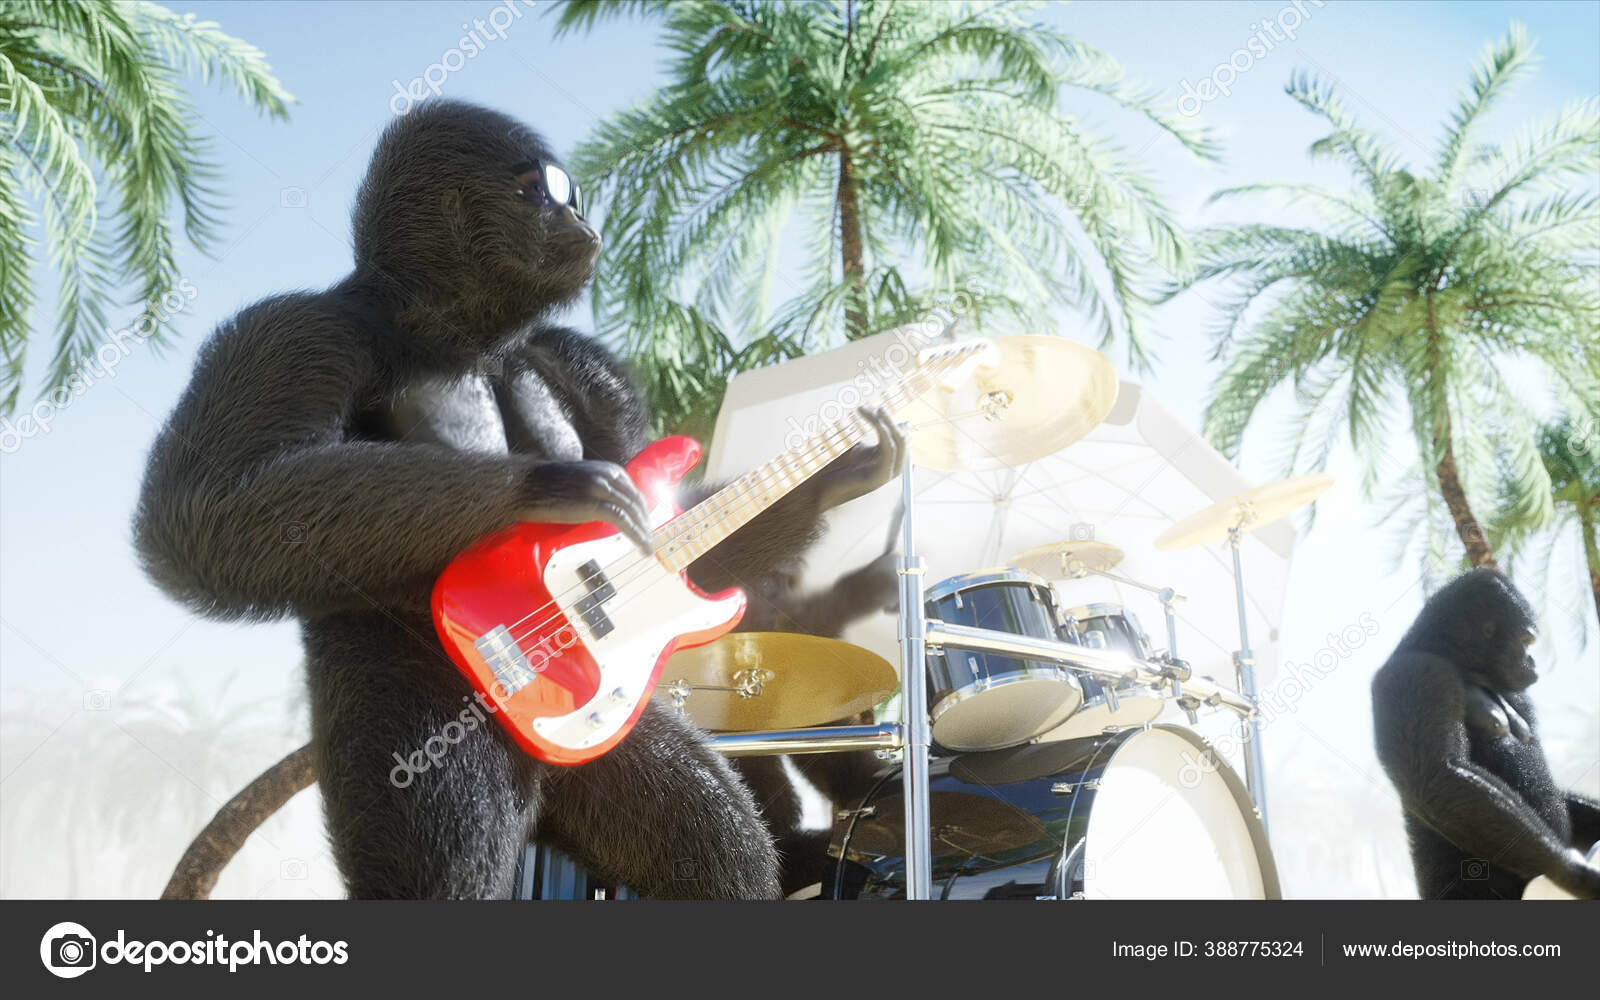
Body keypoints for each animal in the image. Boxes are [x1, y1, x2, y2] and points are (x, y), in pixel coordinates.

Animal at [132, 101, 908, 896]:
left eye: (568, 192)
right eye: (538, 191)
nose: (578, 216)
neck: (465, 335)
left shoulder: (590, 370)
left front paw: (838, 474)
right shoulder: (289, 333)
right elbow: (203, 507)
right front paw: (561, 488)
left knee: (715, 837)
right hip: (417, 735)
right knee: (445, 866)